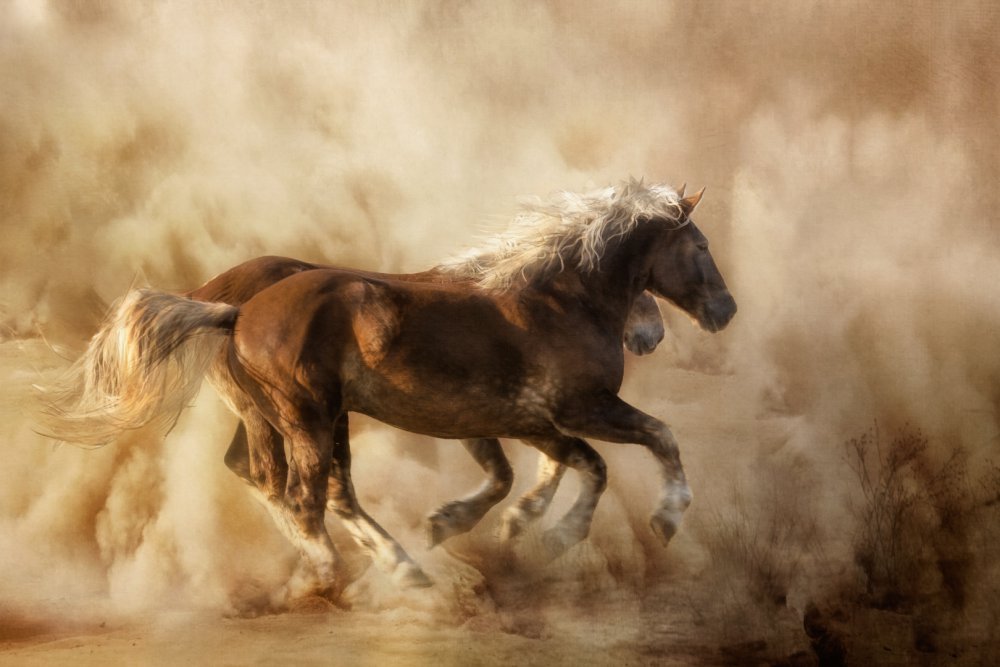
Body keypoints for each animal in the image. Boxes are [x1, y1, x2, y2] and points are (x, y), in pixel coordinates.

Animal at [186, 255, 665, 585]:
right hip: (291, 417)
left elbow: (521, 472)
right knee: (282, 480)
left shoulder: (486, 416)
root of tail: (210, 293)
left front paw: (486, 524)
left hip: (282, 417)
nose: (652, 336)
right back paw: (356, 565)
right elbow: (526, 471)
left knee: (261, 472)